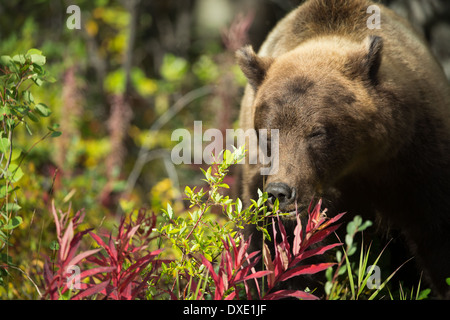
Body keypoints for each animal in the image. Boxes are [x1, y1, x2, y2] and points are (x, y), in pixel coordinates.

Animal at [236, 0, 450, 298]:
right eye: (268, 134)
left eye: (316, 132)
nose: (280, 192)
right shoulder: (261, 180)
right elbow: (275, 251)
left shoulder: (416, 160)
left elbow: (437, 238)